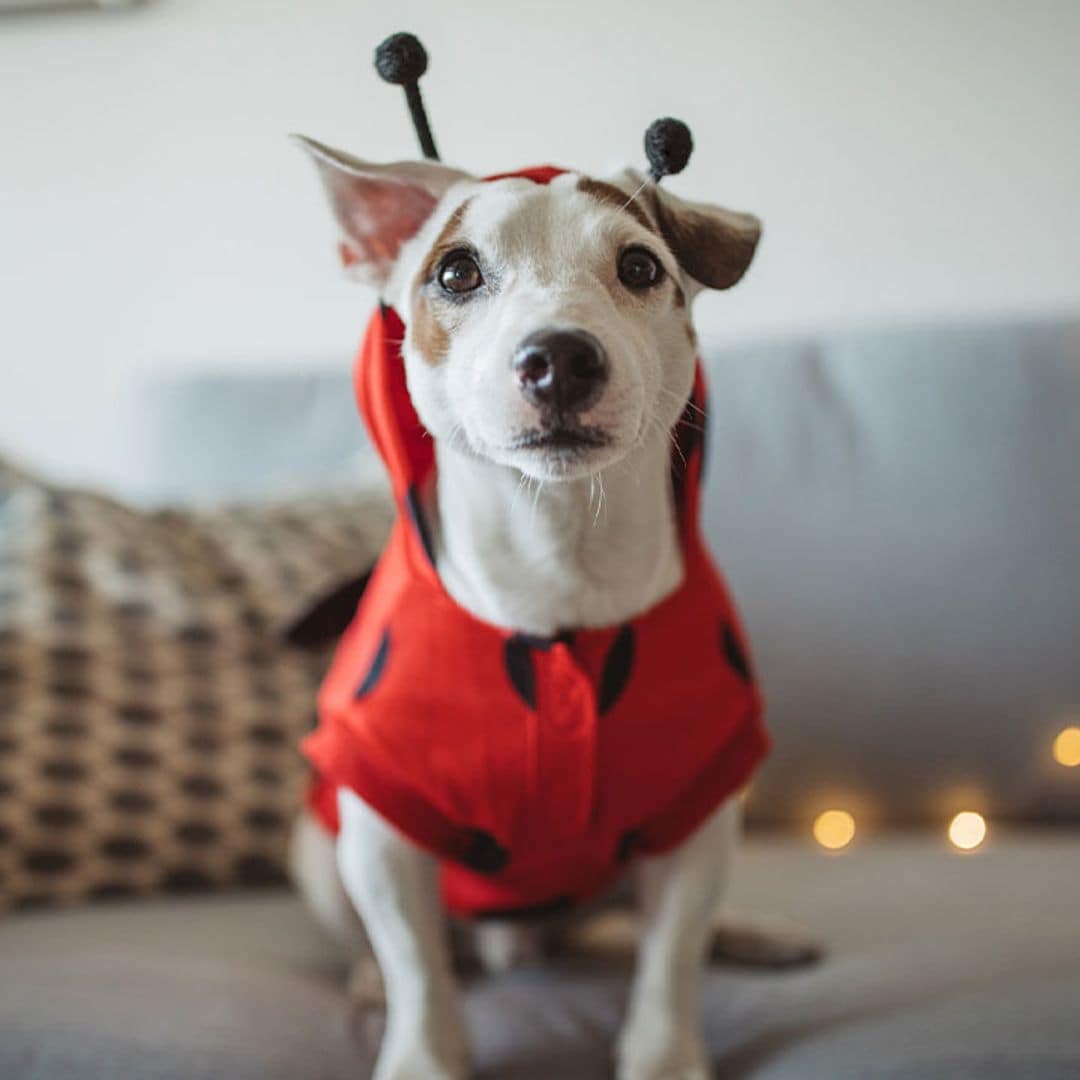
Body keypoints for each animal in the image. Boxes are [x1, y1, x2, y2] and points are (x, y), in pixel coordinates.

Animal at [291, 137, 812, 1080]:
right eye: (456, 271)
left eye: (640, 266)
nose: (560, 357)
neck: (558, 556)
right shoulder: (381, 828)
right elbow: (416, 963)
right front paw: (422, 1053)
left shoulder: (698, 812)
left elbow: (671, 956)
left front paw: (663, 1056)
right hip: (318, 847)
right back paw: (367, 978)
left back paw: (752, 933)